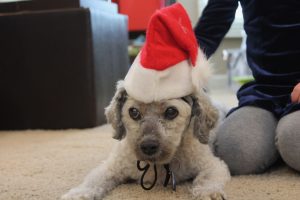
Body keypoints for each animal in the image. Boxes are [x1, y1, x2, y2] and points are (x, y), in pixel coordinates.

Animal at [61, 80, 230, 200]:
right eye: (133, 112)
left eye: (171, 111)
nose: (148, 146)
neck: (157, 165)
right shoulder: (111, 168)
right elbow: (93, 180)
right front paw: (78, 194)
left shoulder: (213, 165)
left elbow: (208, 180)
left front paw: (209, 193)